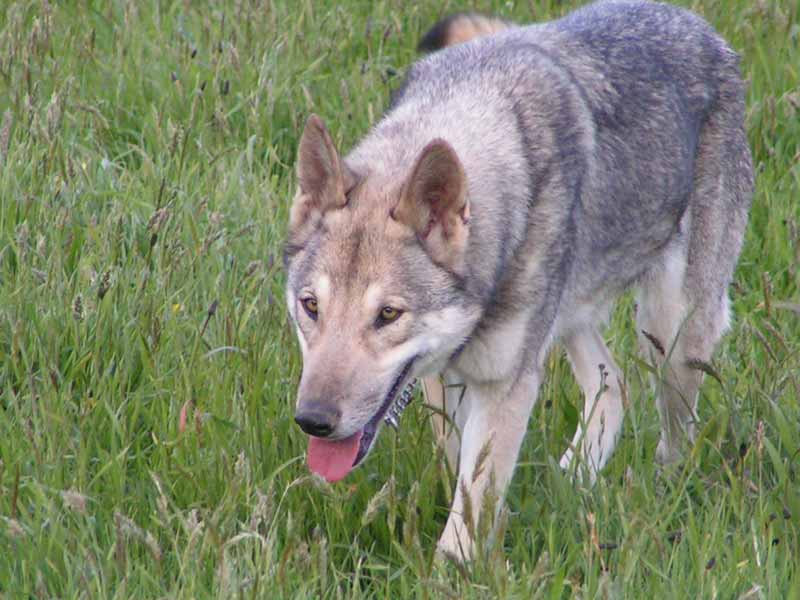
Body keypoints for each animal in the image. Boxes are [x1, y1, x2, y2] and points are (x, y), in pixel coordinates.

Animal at [284, 0, 752, 560]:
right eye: (311, 306)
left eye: (387, 315)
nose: (313, 420)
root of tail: (697, 25)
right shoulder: (444, 375)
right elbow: (459, 471)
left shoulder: (505, 384)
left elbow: (467, 518)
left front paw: (456, 567)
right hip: (572, 314)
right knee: (613, 382)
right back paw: (571, 482)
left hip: (671, 338)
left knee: (677, 434)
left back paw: (655, 491)